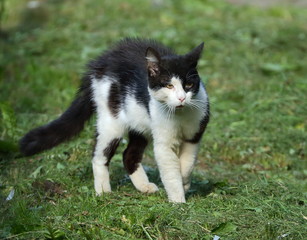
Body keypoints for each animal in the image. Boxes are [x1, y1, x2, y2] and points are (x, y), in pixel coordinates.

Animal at [19, 38, 211, 202]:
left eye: (188, 85)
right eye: (169, 85)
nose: (181, 98)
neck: (180, 115)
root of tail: (100, 62)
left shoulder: (195, 135)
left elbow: (187, 163)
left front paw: (184, 184)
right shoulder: (163, 142)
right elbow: (170, 170)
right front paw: (178, 201)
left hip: (140, 121)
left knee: (129, 155)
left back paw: (144, 186)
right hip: (111, 119)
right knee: (99, 156)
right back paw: (103, 192)